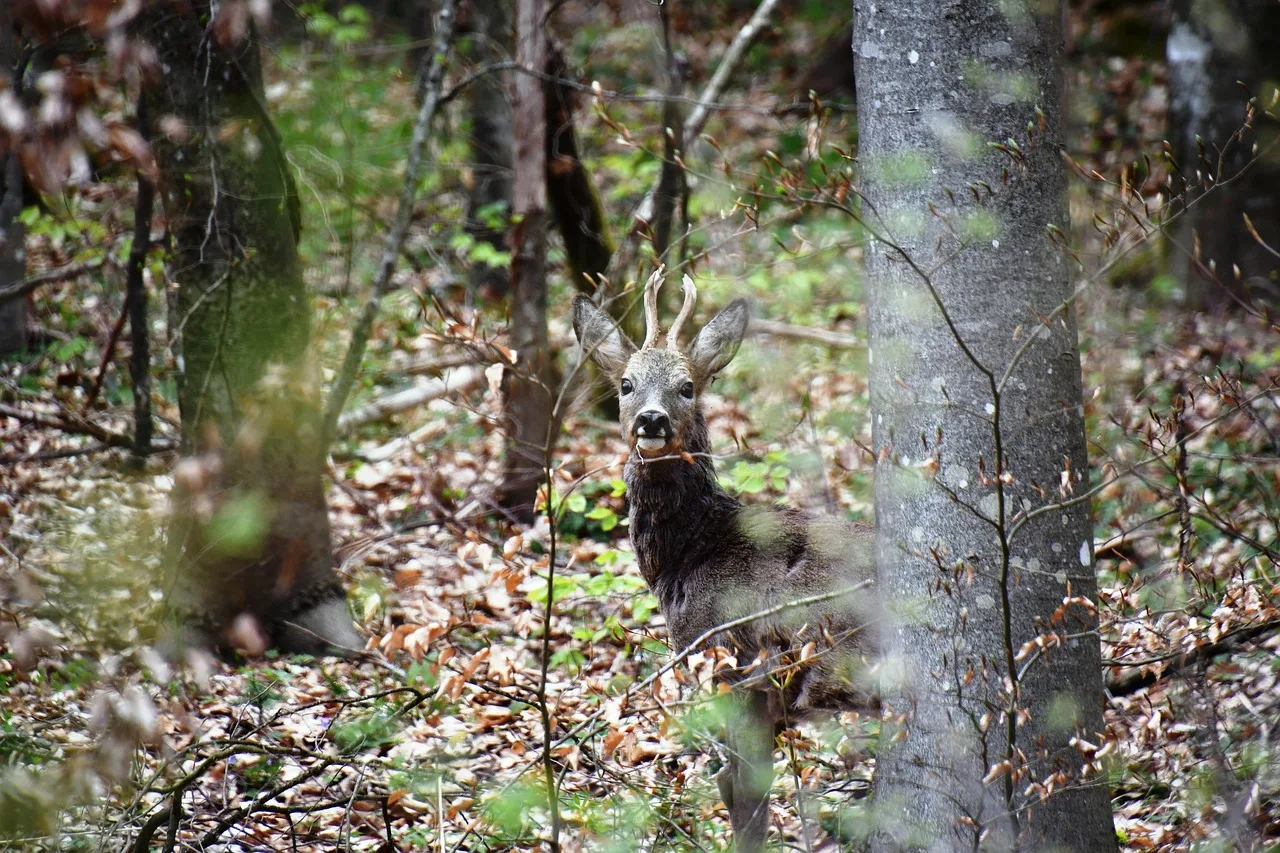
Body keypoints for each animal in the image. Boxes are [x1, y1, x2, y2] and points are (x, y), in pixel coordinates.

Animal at [572, 272, 879, 851]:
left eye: (688, 386)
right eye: (625, 383)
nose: (651, 419)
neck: (691, 552)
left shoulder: (737, 671)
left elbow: (744, 803)